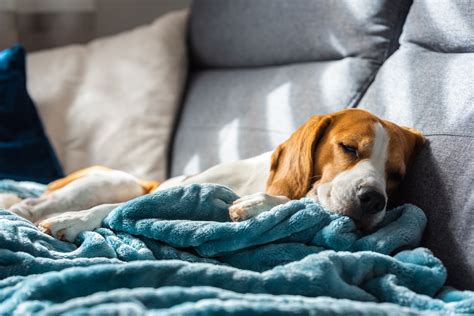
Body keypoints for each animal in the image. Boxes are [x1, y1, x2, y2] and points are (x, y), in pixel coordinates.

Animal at [7, 109, 422, 242]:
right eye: (349, 149)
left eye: (395, 175)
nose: (374, 199)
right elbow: (109, 209)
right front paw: (72, 221)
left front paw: (257, 205)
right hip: (116, 180)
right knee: (34, 201)